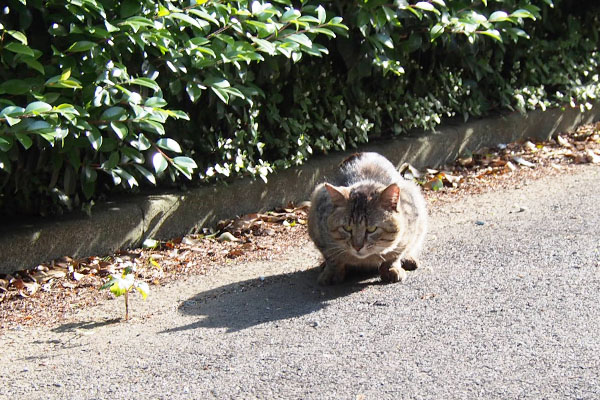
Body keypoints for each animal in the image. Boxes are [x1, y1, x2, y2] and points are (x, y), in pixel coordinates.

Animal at [310, 152, 426, 286]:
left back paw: (409, 258)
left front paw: (391, 268)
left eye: (372, 229)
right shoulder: (318, 227)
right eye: (347, 227)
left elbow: (396, 253)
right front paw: (332, 272)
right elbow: (331, 256)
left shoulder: (411, 223)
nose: (357, 246)